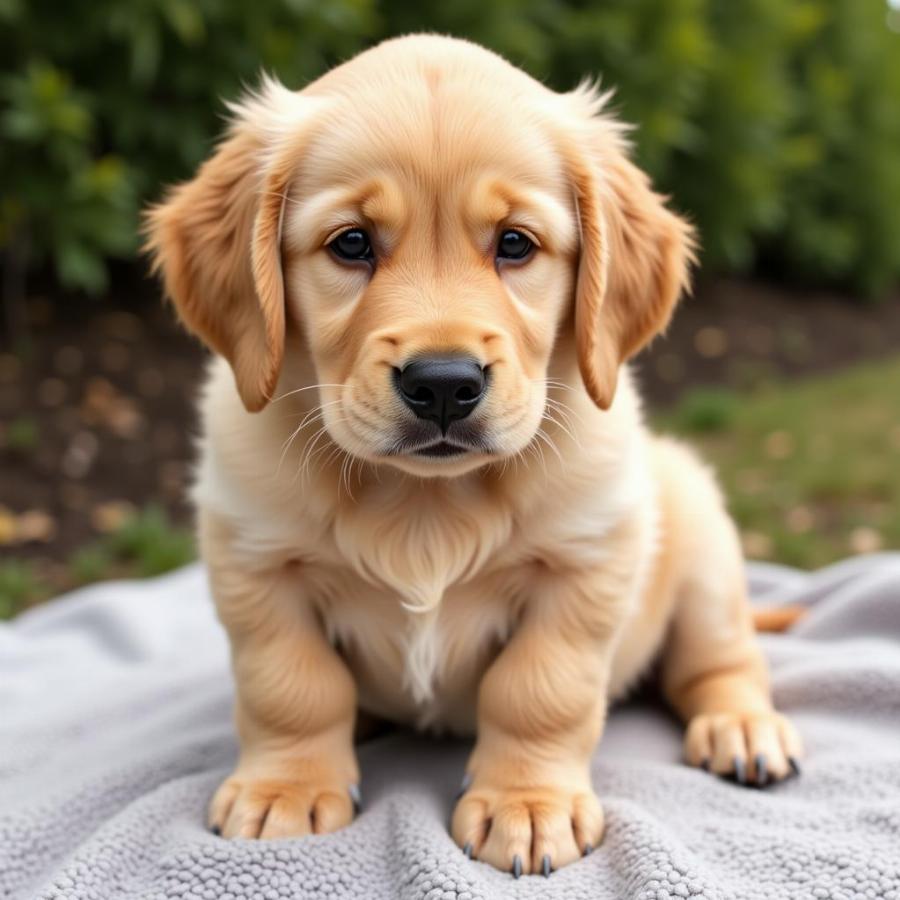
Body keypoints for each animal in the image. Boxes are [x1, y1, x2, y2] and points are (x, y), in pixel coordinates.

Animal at [146, 35, 800, 880]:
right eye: (351, 243)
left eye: (515, 243)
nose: (444, 385)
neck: (424, 498)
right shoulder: (256, 563)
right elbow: (290, 685)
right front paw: (284, 788)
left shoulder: (585, 565)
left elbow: (539, 691)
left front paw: (527, 805)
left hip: (705, 555)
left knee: (723, 664)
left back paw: (743, 729)